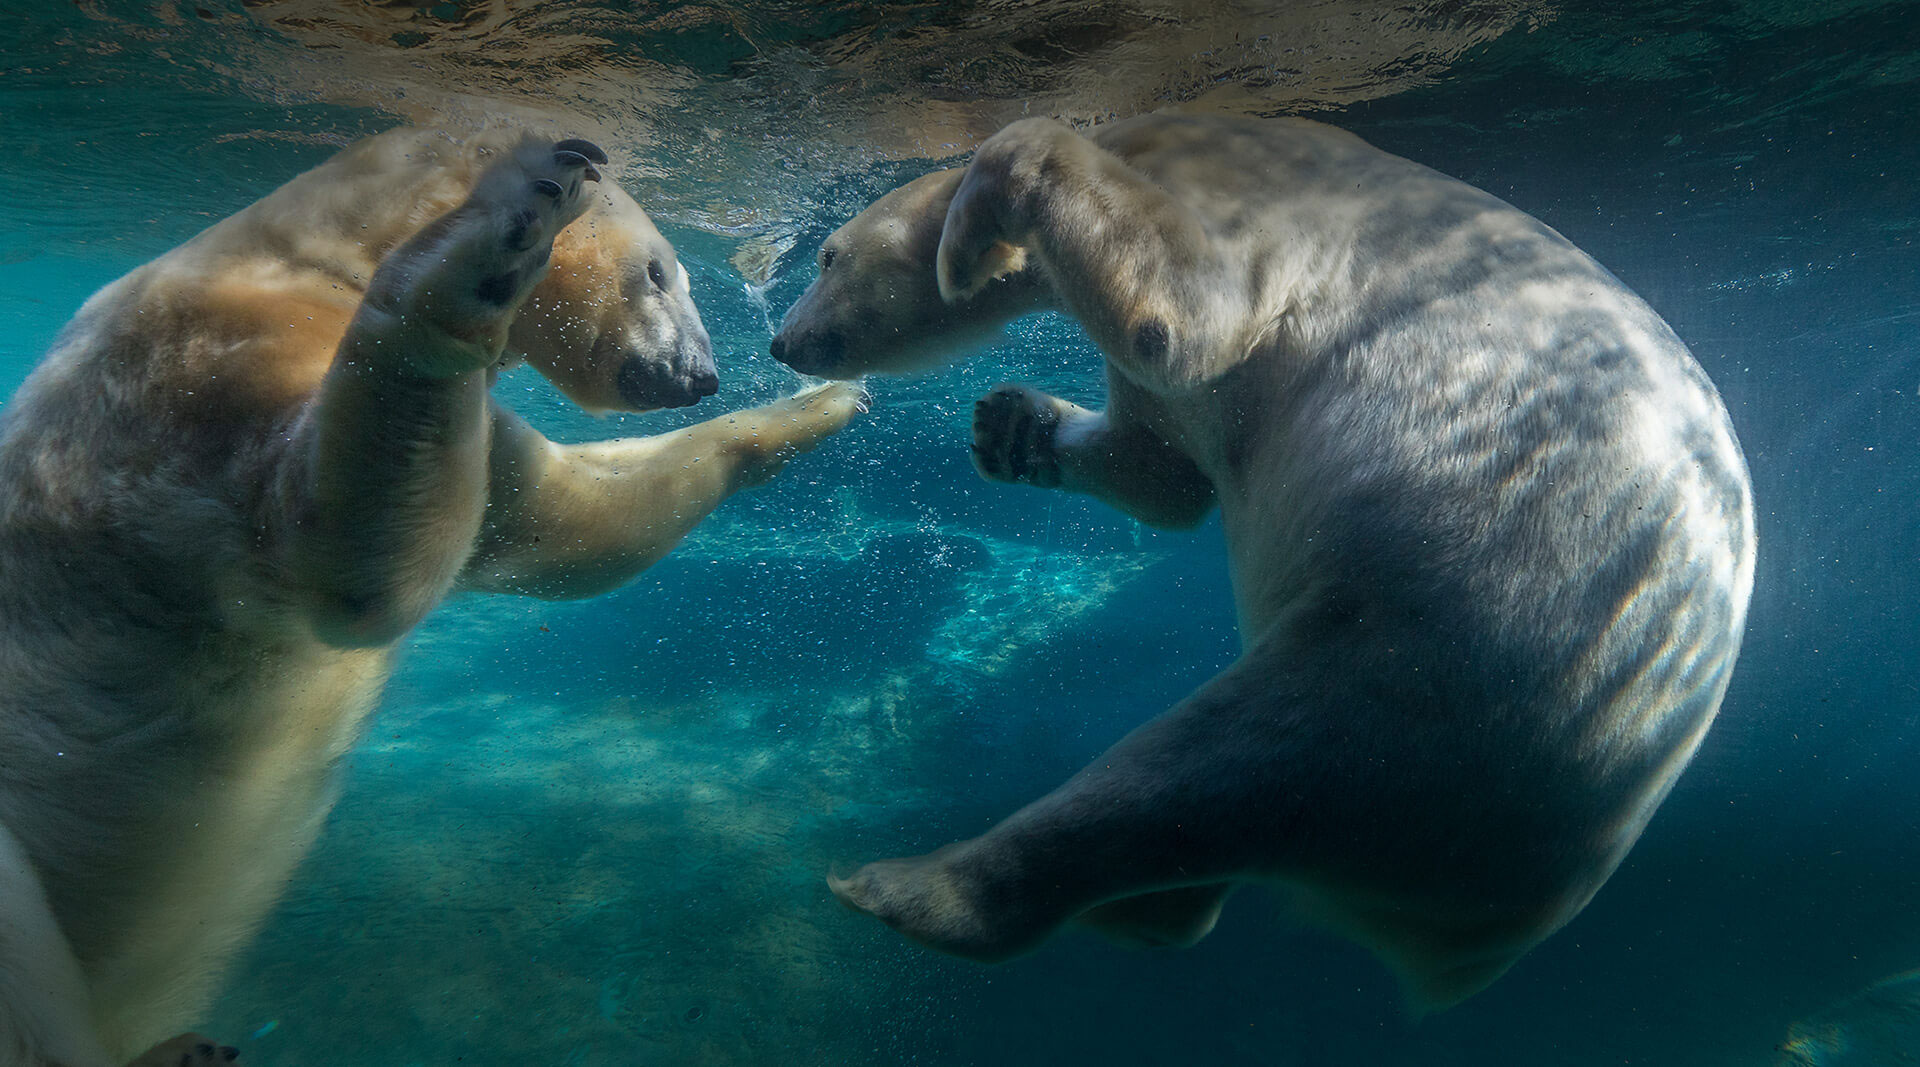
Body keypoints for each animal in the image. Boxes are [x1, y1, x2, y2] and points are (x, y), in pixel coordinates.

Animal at [0, 126, 860, 1067]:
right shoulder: (203, 371)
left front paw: (824, 398)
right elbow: (348, 555)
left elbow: (555, 520)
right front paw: (501, 234)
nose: (700, 374)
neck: (302, 257)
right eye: (662, 271)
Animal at [775, 114, 1758, 1005]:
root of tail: (1485, 931)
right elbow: (1163, 463)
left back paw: (908, 886)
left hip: (1443, 664)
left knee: (1204, 769)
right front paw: (1010, 425)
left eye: (824, 256)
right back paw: (1147, 910)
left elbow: (1183, 320)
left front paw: (970, 241)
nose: (782, 342)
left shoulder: (1235, 199)